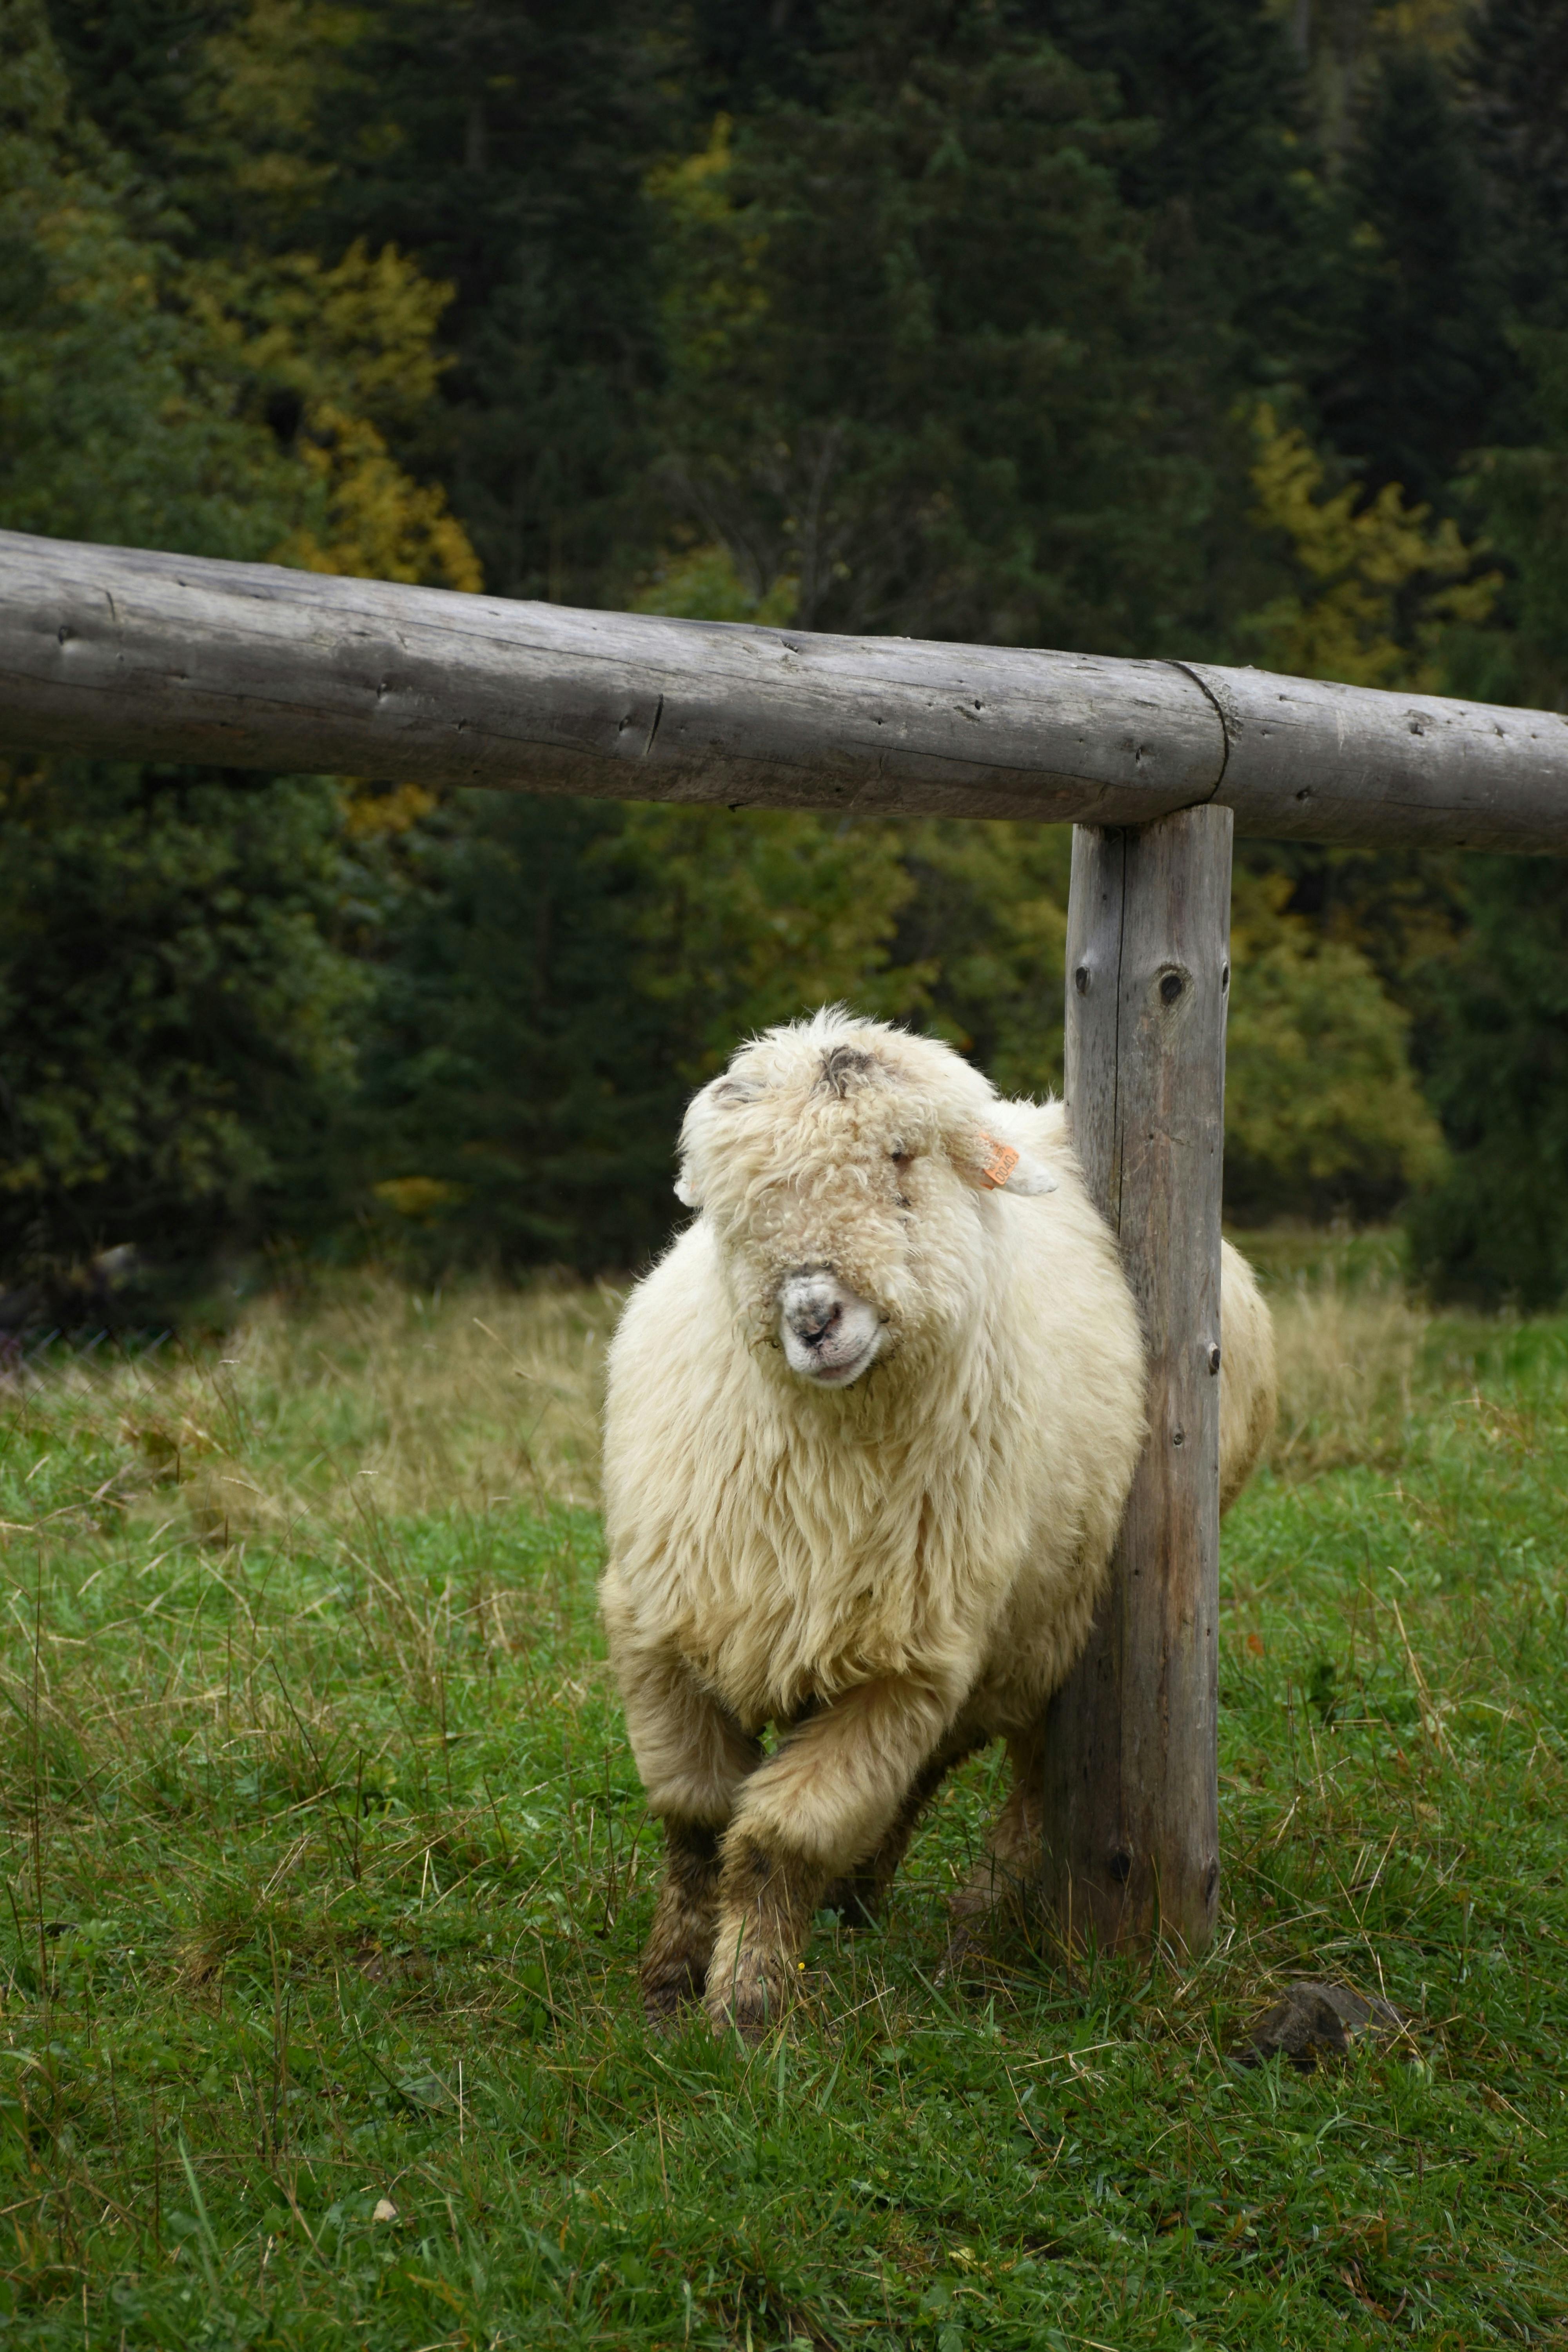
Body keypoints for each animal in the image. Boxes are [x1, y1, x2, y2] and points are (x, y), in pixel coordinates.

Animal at [600, 1008, 1276, 2037]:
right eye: (742, 1199)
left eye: (900, 1158)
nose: (814, 1317)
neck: (820, 1463)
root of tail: (1039, 1120)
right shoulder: (661, 1633)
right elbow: (696, 1821)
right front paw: (672, 1982)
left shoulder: (905, 1661)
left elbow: (777, 1840)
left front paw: (747, 2004)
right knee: (939, 1763)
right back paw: (864, 1896)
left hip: (1048, 1626)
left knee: (1026, 1775)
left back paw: (974, 1921)